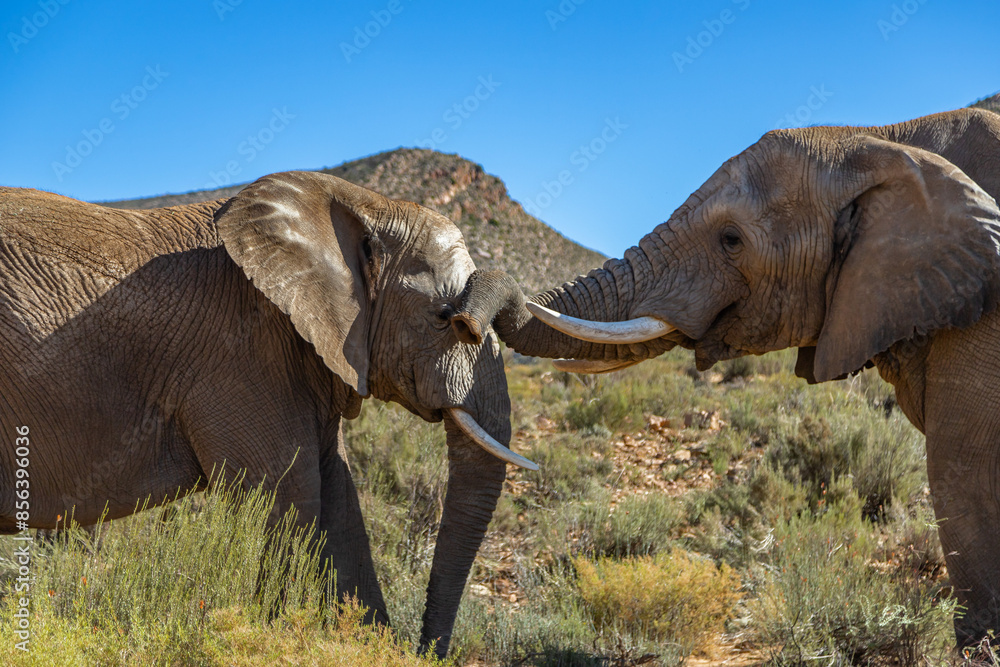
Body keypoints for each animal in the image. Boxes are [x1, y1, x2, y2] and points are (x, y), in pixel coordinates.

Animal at [0, 170, 535, 658]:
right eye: (445, 318)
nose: (425, 649)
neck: (363, 203)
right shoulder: (238, 355)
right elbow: (289, 496)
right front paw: (273, 634)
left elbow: (339, 499)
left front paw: (369, 646)